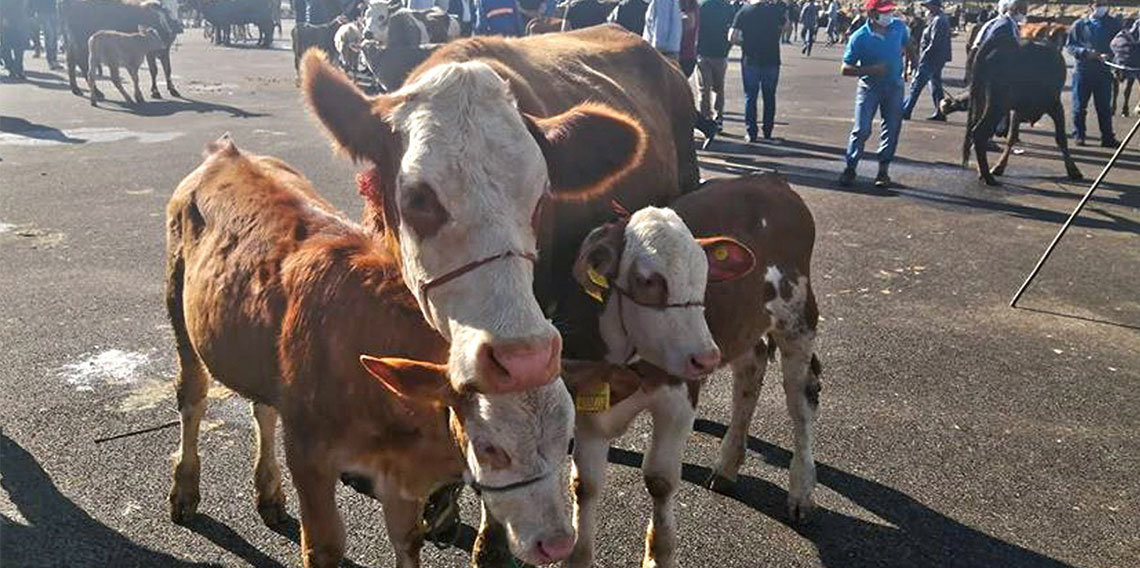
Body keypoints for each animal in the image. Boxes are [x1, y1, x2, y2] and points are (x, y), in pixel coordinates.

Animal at [166, 134, 579, 568]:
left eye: (569, 443)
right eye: (489, 449)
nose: (556, 544)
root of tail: (227, 153)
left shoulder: (399, 475)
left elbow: (407, 540)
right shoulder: (309, 456)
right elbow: (324, 547)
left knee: (264, 408)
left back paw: (269, 494)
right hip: (177, 306)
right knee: (192, 398)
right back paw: (185, 491)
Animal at [948, 36, 1080, 184]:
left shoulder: (1018, 110)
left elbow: (1012, 137)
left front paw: (1000, 166)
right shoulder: (1055, 105)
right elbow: (1061, 138)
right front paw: (1073, 170)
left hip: (980, 100)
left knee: (973, 130)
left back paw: (982, 172)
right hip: (997, 104)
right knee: (979, 132)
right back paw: (988, 177)